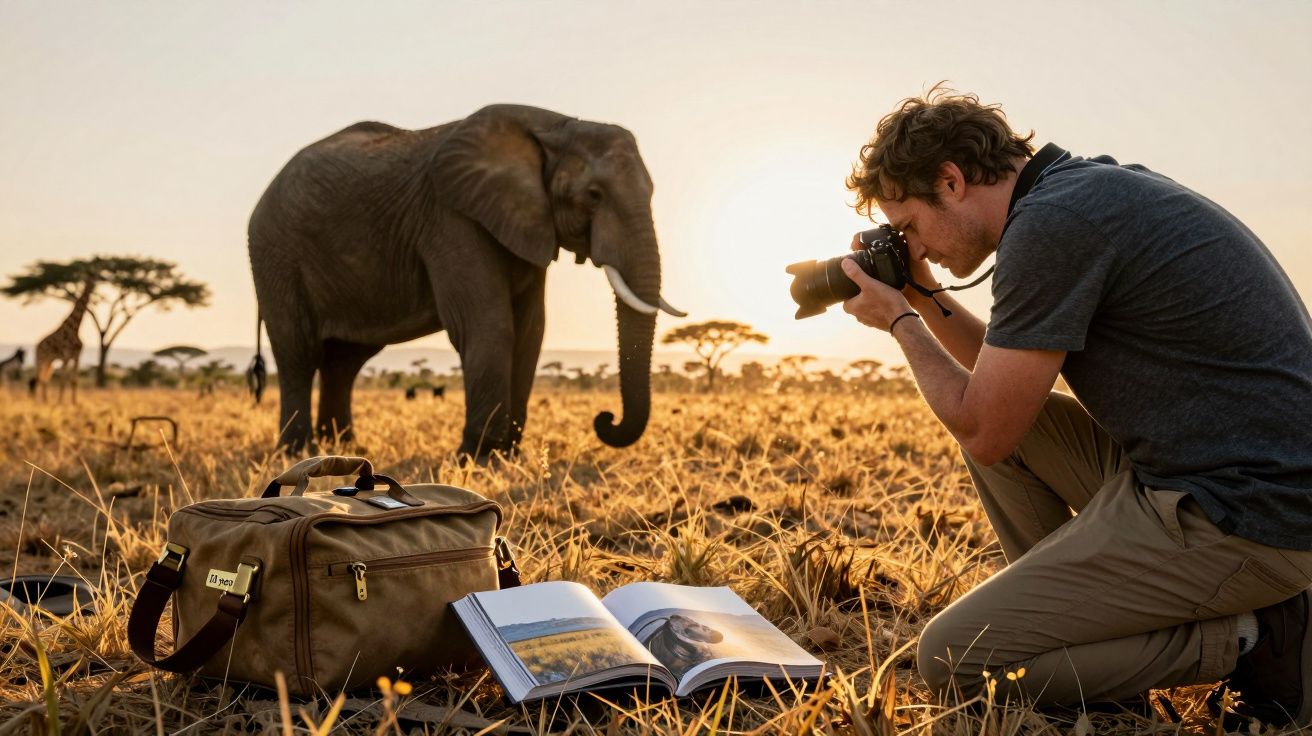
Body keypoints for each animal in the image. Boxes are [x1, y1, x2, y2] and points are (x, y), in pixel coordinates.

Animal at [248, 105, 684, 458]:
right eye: (594, 194)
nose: (605, 418)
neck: (556, 125)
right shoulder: (450, 218)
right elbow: (488, 325)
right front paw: (478, 458)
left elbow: (531, 332)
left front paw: (508, 458)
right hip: (276, 254)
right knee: (298, 351)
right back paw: (297, 453)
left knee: (344, 361)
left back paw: (346, 449)